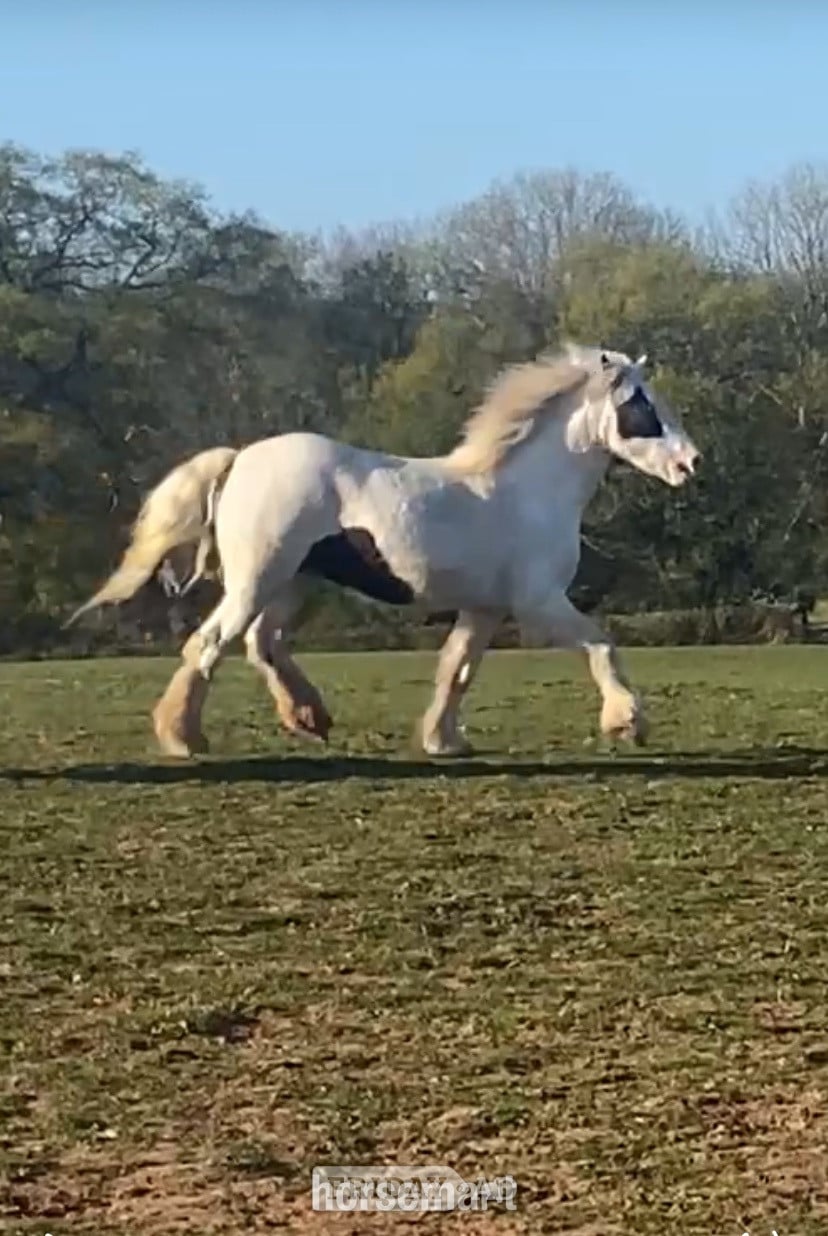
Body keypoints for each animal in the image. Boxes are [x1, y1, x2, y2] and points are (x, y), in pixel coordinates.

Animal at [66, 343, 700, 759]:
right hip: (258, 578)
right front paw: (627, 723)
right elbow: (602, 645)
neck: (526, 493)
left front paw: (444, 741)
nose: (690, 464)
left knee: (261, 643)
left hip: (293, 581)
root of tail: (240, 457)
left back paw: (309, 718)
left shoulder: (486, 608)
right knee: (211, 642)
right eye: (641, 406)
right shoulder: (538, 603)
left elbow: (457, 669)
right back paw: (184, 737)